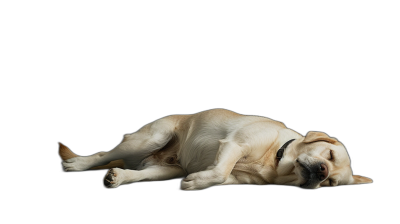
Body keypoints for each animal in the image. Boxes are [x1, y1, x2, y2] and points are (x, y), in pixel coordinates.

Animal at [59, 108, 372, 189]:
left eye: (330, 184)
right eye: (329, 155)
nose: (322, 173)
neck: (275, 161)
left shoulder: (235, 177)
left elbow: (221, 176)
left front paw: (198, 182)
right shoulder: (234, 145)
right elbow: (221, 170)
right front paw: (199, 181)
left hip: (165, 170)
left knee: (137, 174)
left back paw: (118, 177)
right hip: (149, 139)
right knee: (103, 155)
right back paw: (78, 164)